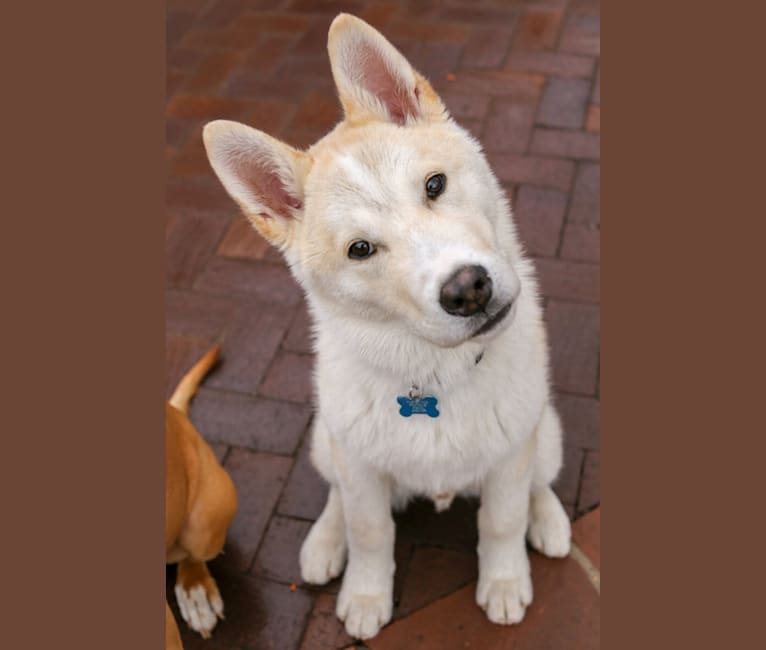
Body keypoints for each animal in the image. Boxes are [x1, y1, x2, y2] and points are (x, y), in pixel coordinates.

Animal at [201, 12, 572, 636]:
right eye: (361, 249)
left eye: (434, 185)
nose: (468, 289)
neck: (436, 375)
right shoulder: (360, 468)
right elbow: (370, 530)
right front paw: (367, 595)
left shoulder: (508, 456)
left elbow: (502, 519)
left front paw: (504, 581)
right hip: (328, 440)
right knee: (338, 495)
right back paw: (325, 542)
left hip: (544, 431)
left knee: (538, 480)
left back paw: (548, 521)